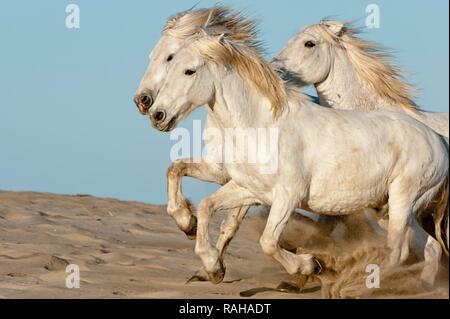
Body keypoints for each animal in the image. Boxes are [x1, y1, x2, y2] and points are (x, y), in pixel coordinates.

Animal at [149, 32, 448, 288]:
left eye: (189, 71)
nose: (156, 114)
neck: (262, 125)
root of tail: (437, 141)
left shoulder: (288, 196)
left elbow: (268, 241)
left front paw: (308, 266)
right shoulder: (248, 189)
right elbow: (205, 204)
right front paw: (210, 263)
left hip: (402, 200)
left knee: (398, 251)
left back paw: (357, 287)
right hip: (390, 209)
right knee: (430, 247)